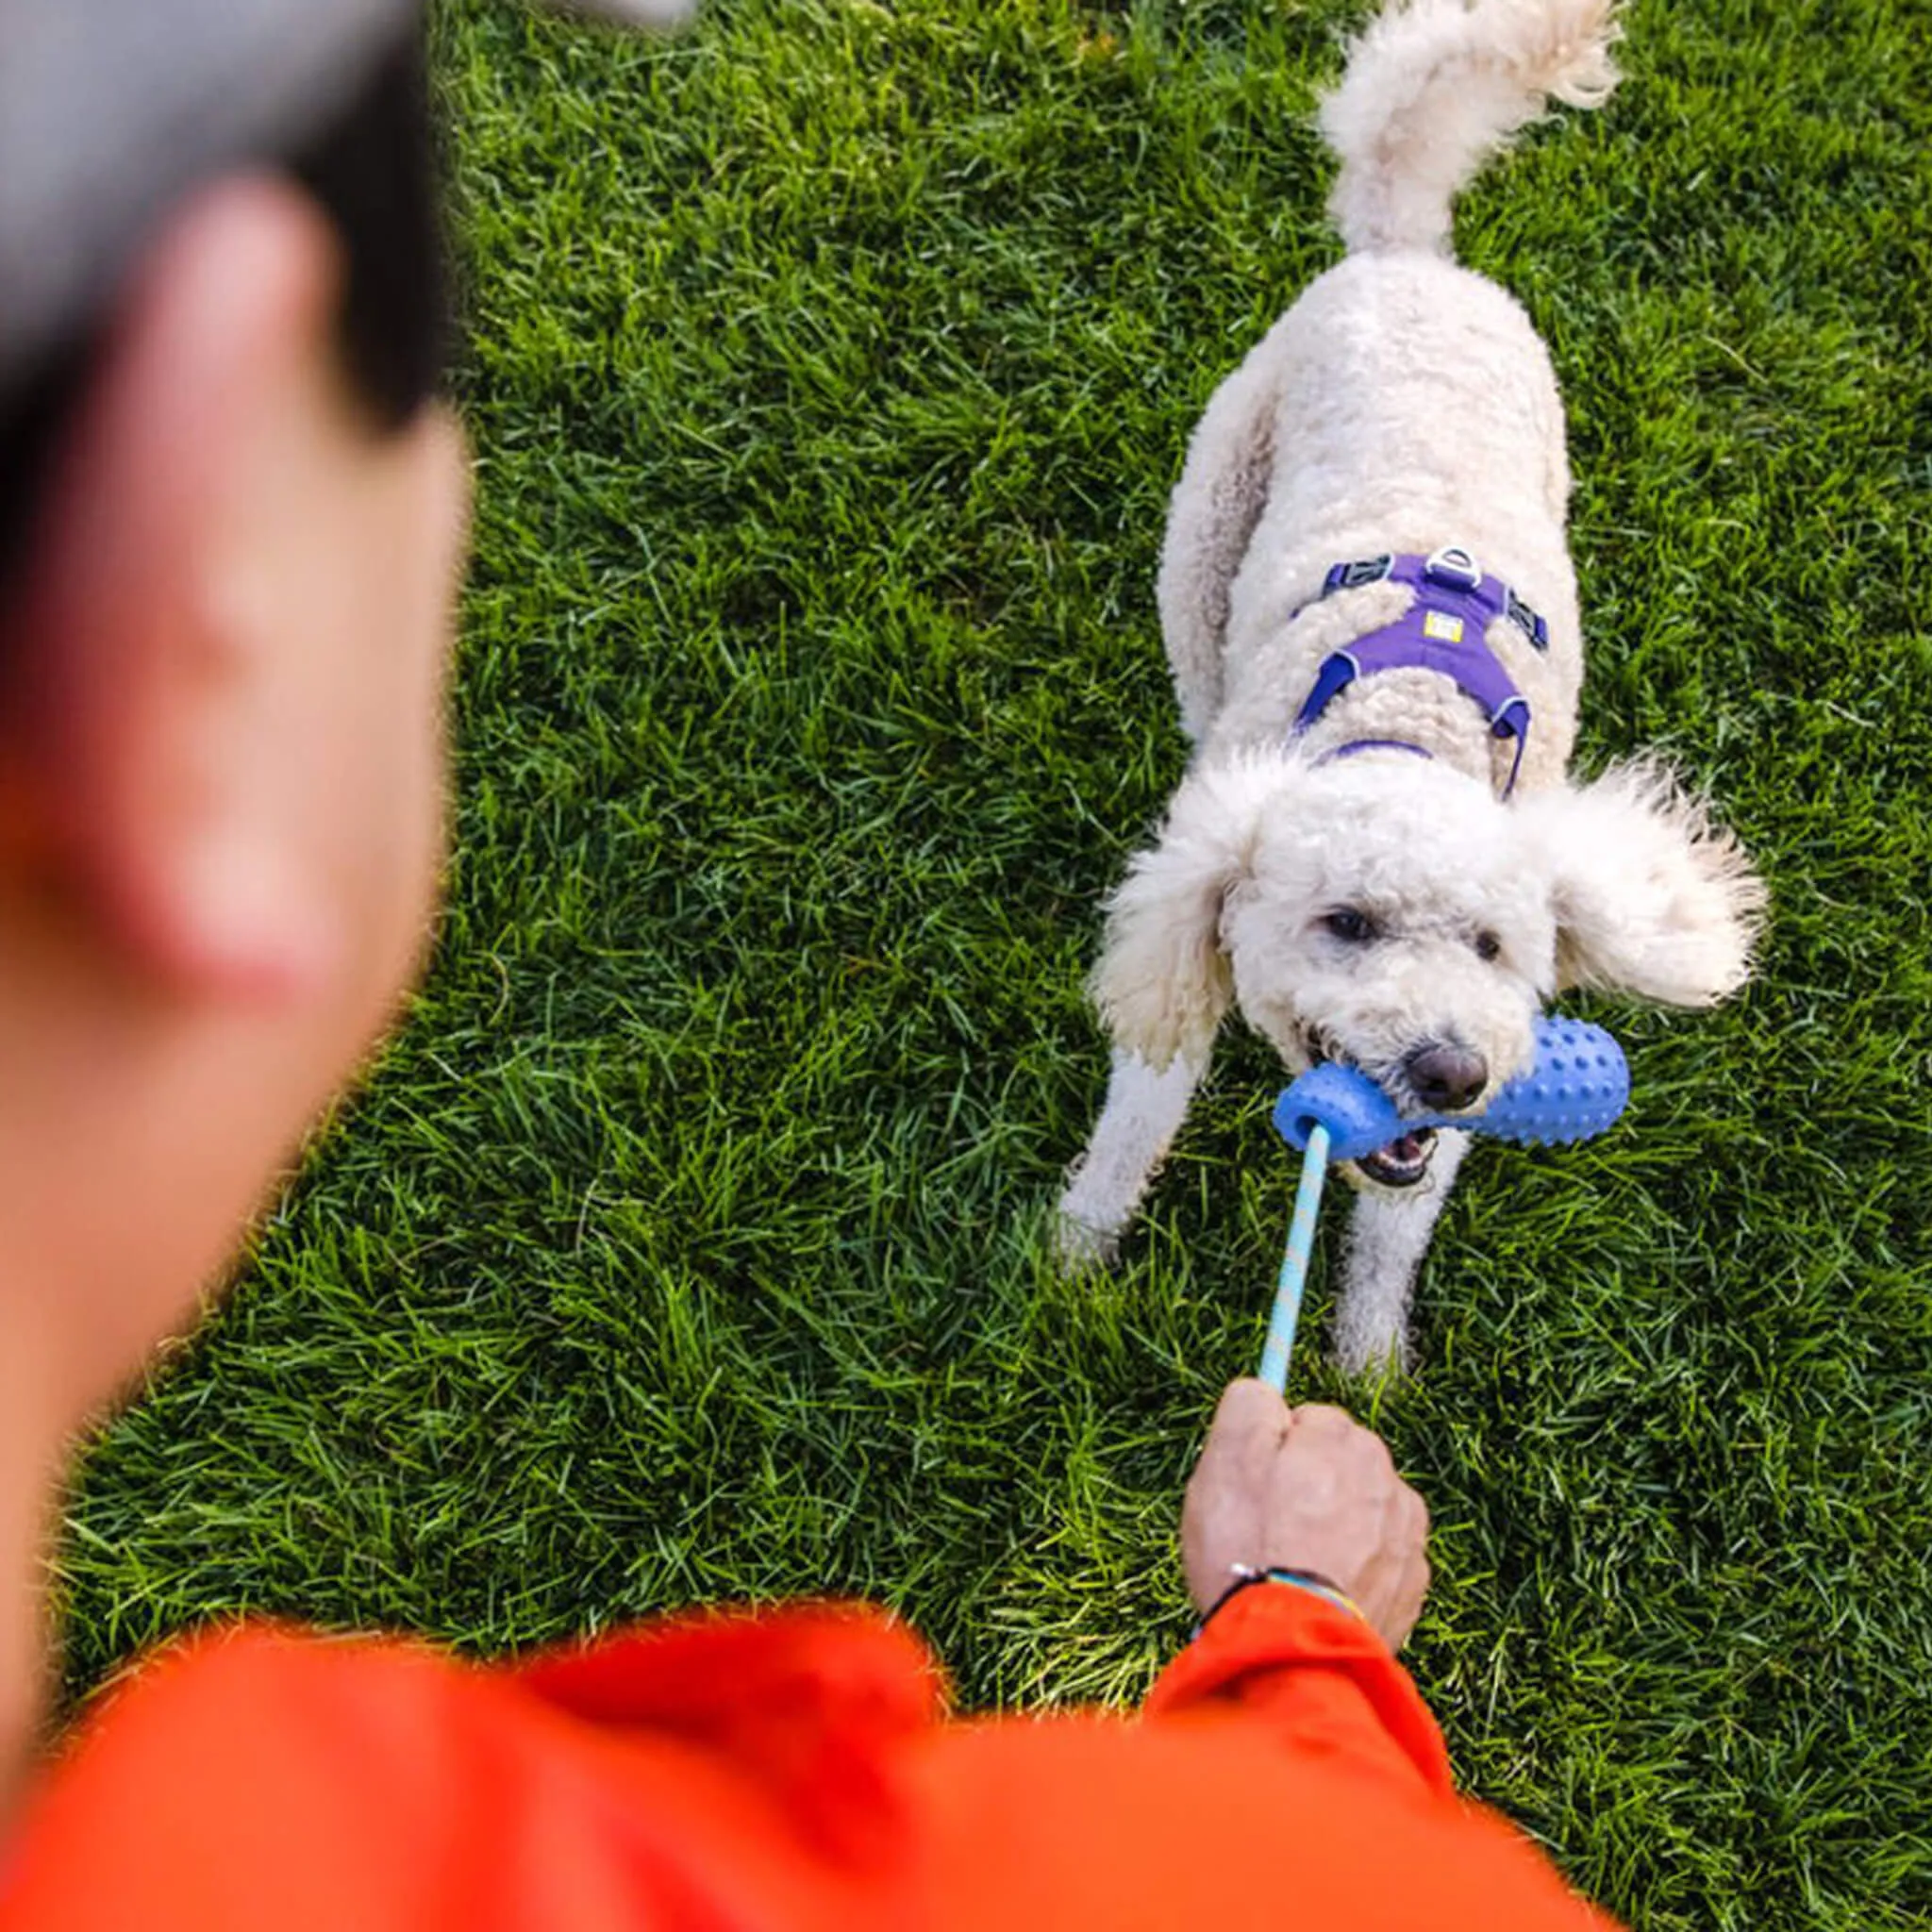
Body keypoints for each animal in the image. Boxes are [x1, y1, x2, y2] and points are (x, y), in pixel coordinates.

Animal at [1058, 0, 1769, 1375]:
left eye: (1495, 948)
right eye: (1344, 924)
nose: (1451, 1071)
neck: (1406, 725)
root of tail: (1411, 256)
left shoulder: (1449, 1115)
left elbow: (1395, 1228)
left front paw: (1368, 1368)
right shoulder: (1186, 952)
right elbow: (1134, 1121)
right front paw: (1064, 1263)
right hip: (1208, 512)